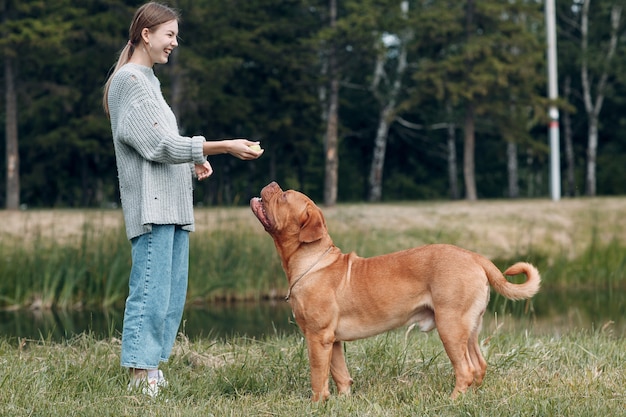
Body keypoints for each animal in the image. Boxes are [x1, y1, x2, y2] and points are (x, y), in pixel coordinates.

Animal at [249, 181, 536, 400]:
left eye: (284, 196)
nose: (272, 183)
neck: (312, 261)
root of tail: (475, 257)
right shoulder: (333, 340)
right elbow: (340, 373)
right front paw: (342, 400)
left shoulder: (317, 337)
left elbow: (318, 377)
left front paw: (317, 403)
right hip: (470, 328)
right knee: (479, 366)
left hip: (450, 326)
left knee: (464, 370)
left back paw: (452, 400)